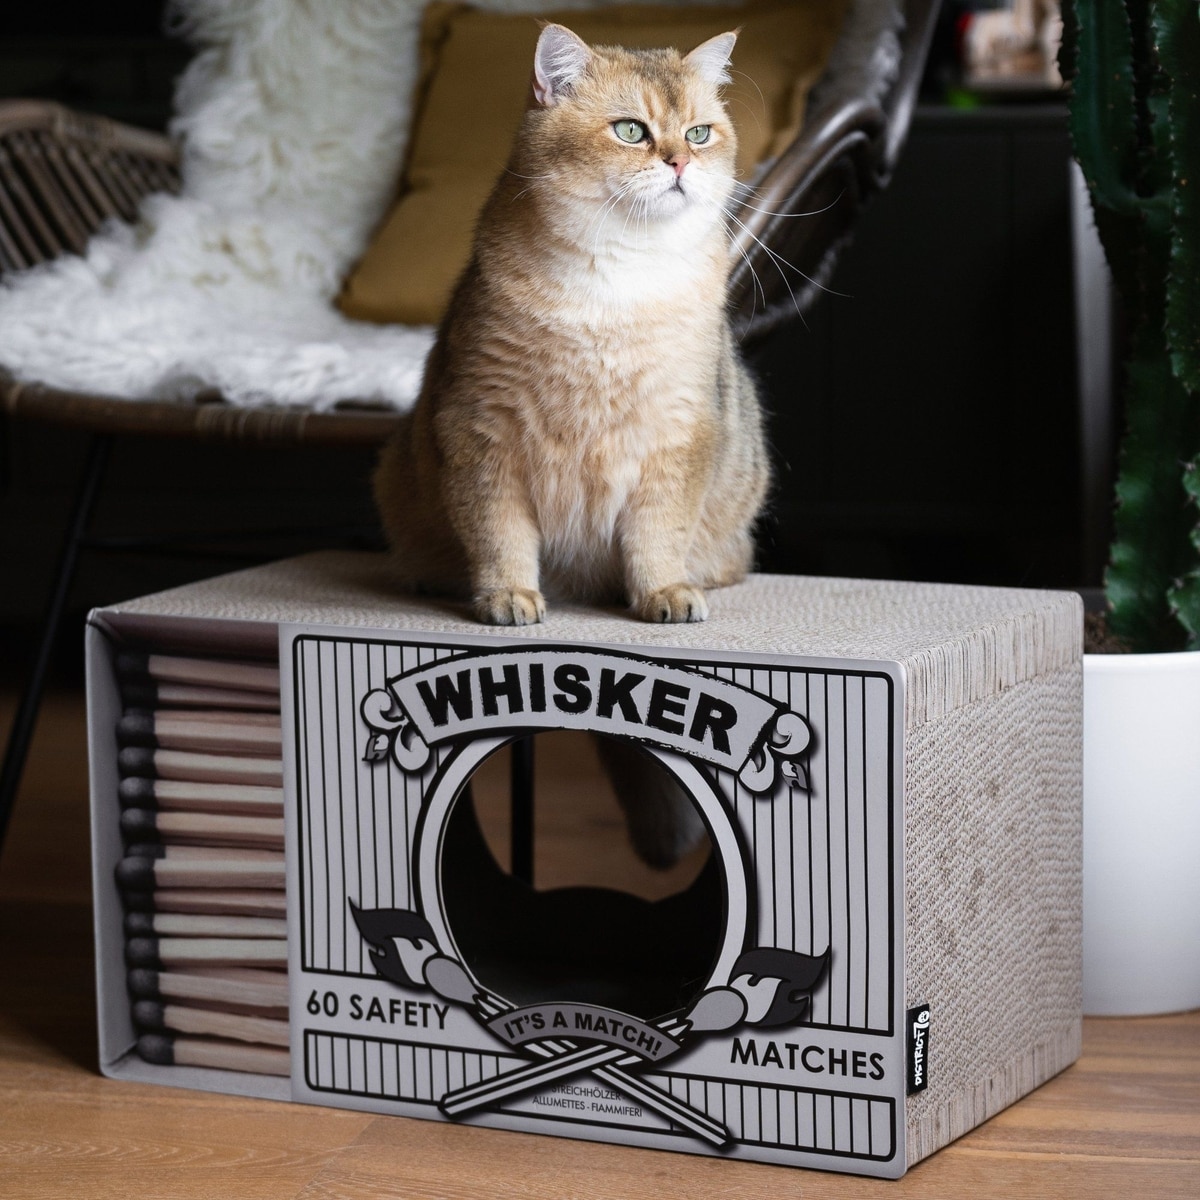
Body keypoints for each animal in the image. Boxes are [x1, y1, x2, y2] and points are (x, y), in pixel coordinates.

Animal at [373, 22, 770, 864]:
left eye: (698, 133)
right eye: (631, 131)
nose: (680, 164)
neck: (615, 290)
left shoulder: (677, 442)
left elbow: (655, 537)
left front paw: (661, 593)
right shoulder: (481, 432)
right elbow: (501, 534)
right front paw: (507, 596)